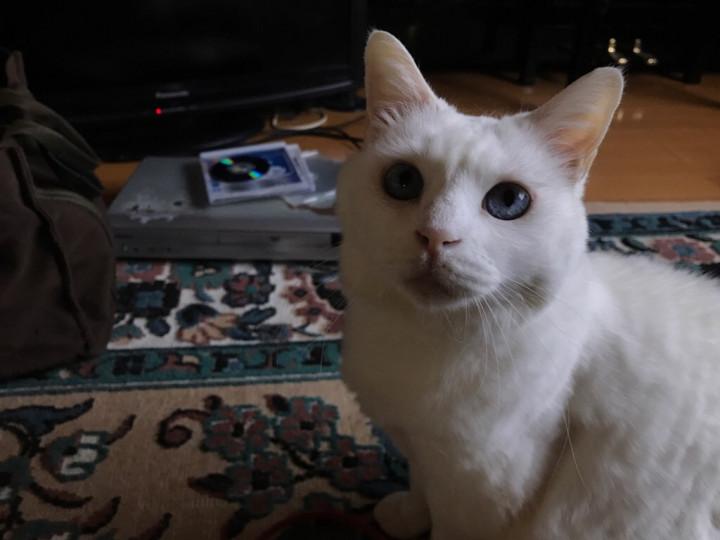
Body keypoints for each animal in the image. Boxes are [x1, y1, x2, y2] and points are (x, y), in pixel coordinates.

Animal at [337, 30, 720, 540]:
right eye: (402, 181)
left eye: (508, 201)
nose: (436, 235)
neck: (421, 340)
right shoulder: (420, 449)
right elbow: (420, 485)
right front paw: (405, 515)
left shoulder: (478, 486)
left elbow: (448, 523)